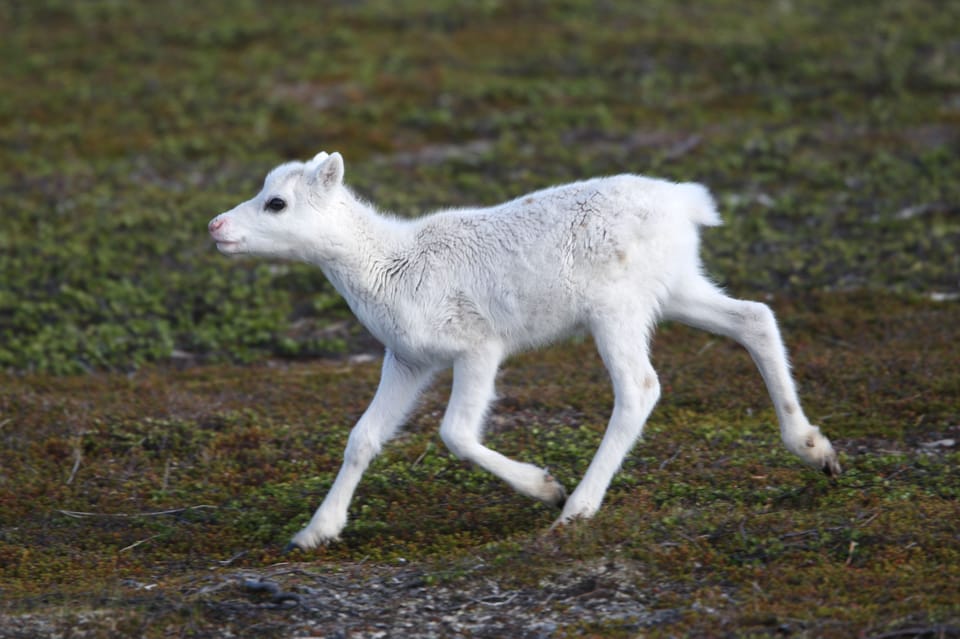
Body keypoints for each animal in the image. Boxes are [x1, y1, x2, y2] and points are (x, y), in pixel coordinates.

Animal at [210, 150, 840, 552]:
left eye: (276, 203)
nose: (216, 226)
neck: (387, 266)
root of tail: (688, 205)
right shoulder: (408, 359)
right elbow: (362, 437)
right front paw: (314, 532)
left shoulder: (478, 349)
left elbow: (456, 433)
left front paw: (544, 486)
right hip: (678, 288)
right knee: (755, 319)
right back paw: (816, 450)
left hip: (615, 311)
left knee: (640, 387)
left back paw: (575, 508)